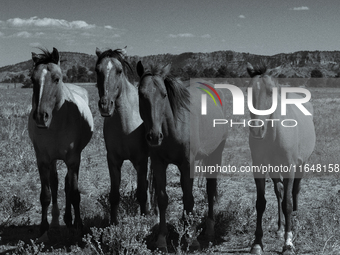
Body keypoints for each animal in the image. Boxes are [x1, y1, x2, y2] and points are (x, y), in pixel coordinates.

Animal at [28, 48, 93, 241]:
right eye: (32, 79)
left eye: (57, 78)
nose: (40, 116)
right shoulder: (42, 160)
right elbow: (46, 194)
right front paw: (44, 228)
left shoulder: (73, 160)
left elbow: (74, 193)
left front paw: (78, 225)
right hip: (53, 160)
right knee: (56, 182)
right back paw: (57, 220)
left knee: (67, 185)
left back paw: (69, 220)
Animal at [95, 46, 149, 224]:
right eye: (97, 70)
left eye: (119, 71)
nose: (105, 105)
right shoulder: (113, 160)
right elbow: (114, 195)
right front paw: (113, 223)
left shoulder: (141, 160)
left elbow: (141, 192)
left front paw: (144, 219)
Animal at [136, 61, 228, 251]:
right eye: (141, 94)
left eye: (164, 95)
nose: (154, 136)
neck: (174, 127)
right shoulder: (159, 164)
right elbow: (163, 199)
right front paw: (162, 239)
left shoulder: (187, 165)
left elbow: (189, 199)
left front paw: (192, 239)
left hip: (216, 154)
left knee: (210, 190)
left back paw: (208, 229)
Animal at [247, 62, 316, 255]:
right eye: (248, 92)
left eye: (271, 92)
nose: (257, 130)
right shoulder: (259, 167)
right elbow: (261, 203)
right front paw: (257, 243)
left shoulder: (290, 168)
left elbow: (288, 204)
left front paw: (288, 243)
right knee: (279, 191)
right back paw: (279, 228)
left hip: (301, 165)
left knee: (294, 191)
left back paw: (295, 220)